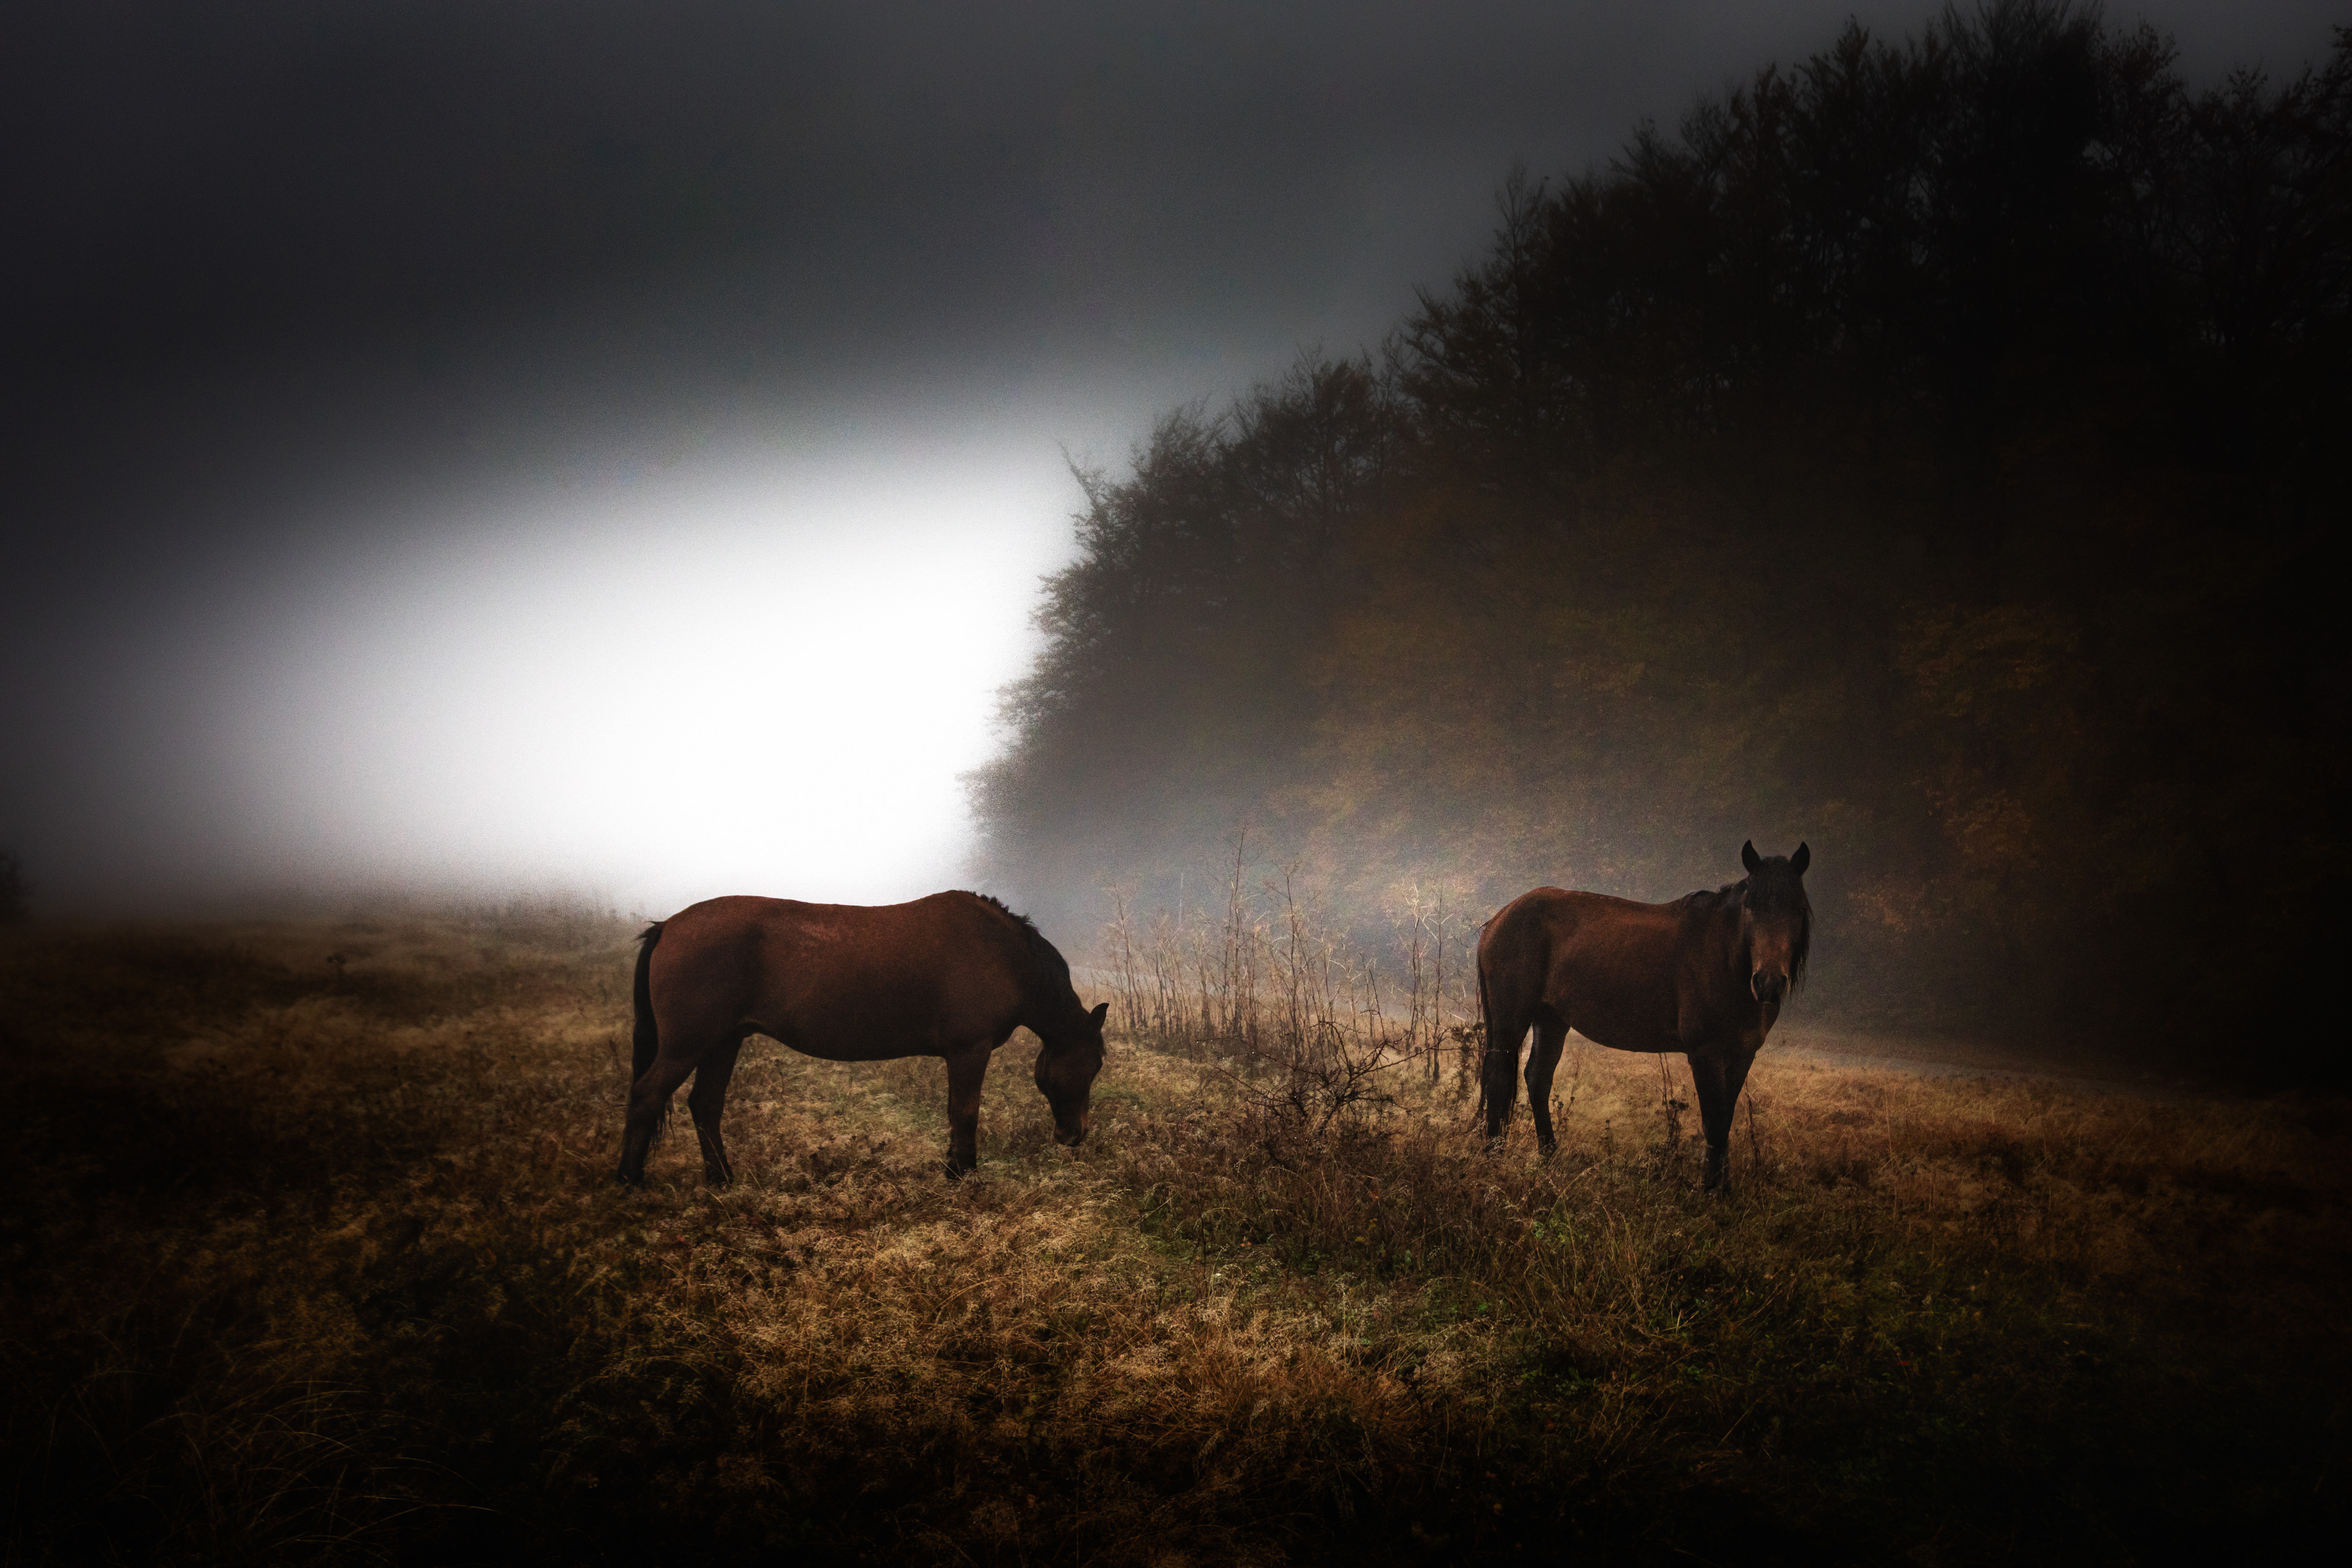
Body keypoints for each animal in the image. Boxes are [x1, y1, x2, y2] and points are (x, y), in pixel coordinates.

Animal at [620, 888, 1105, 1185]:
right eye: (1096, 1064)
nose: (1075, 1135)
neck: (1004, 955)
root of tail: (669, 925)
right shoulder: (970, 1050)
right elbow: (965, 1112)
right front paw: (964, 1176)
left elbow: (956, 1112)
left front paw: (954, 1169)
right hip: (687, 1046)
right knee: (647, 1096)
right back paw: (630, 1180)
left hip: (723, 1042)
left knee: (705, 1105)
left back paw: (723, 1180)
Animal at [1468, 846, 1815, 1189]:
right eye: (1751, 908)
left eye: (1798, 911)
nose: (1769, 982)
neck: (1725, 960)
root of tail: (1499, 918)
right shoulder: (1705, 1055)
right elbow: (1714, 1122)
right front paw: (1710, 1191)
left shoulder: (1743, 1055)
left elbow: (1725, 1119)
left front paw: (1722, 1188)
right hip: (1511, 1022)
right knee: (1499, 1081)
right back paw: (1494, 1159)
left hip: (1552, 1020)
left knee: (1537, 1079)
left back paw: (1550, 1159)